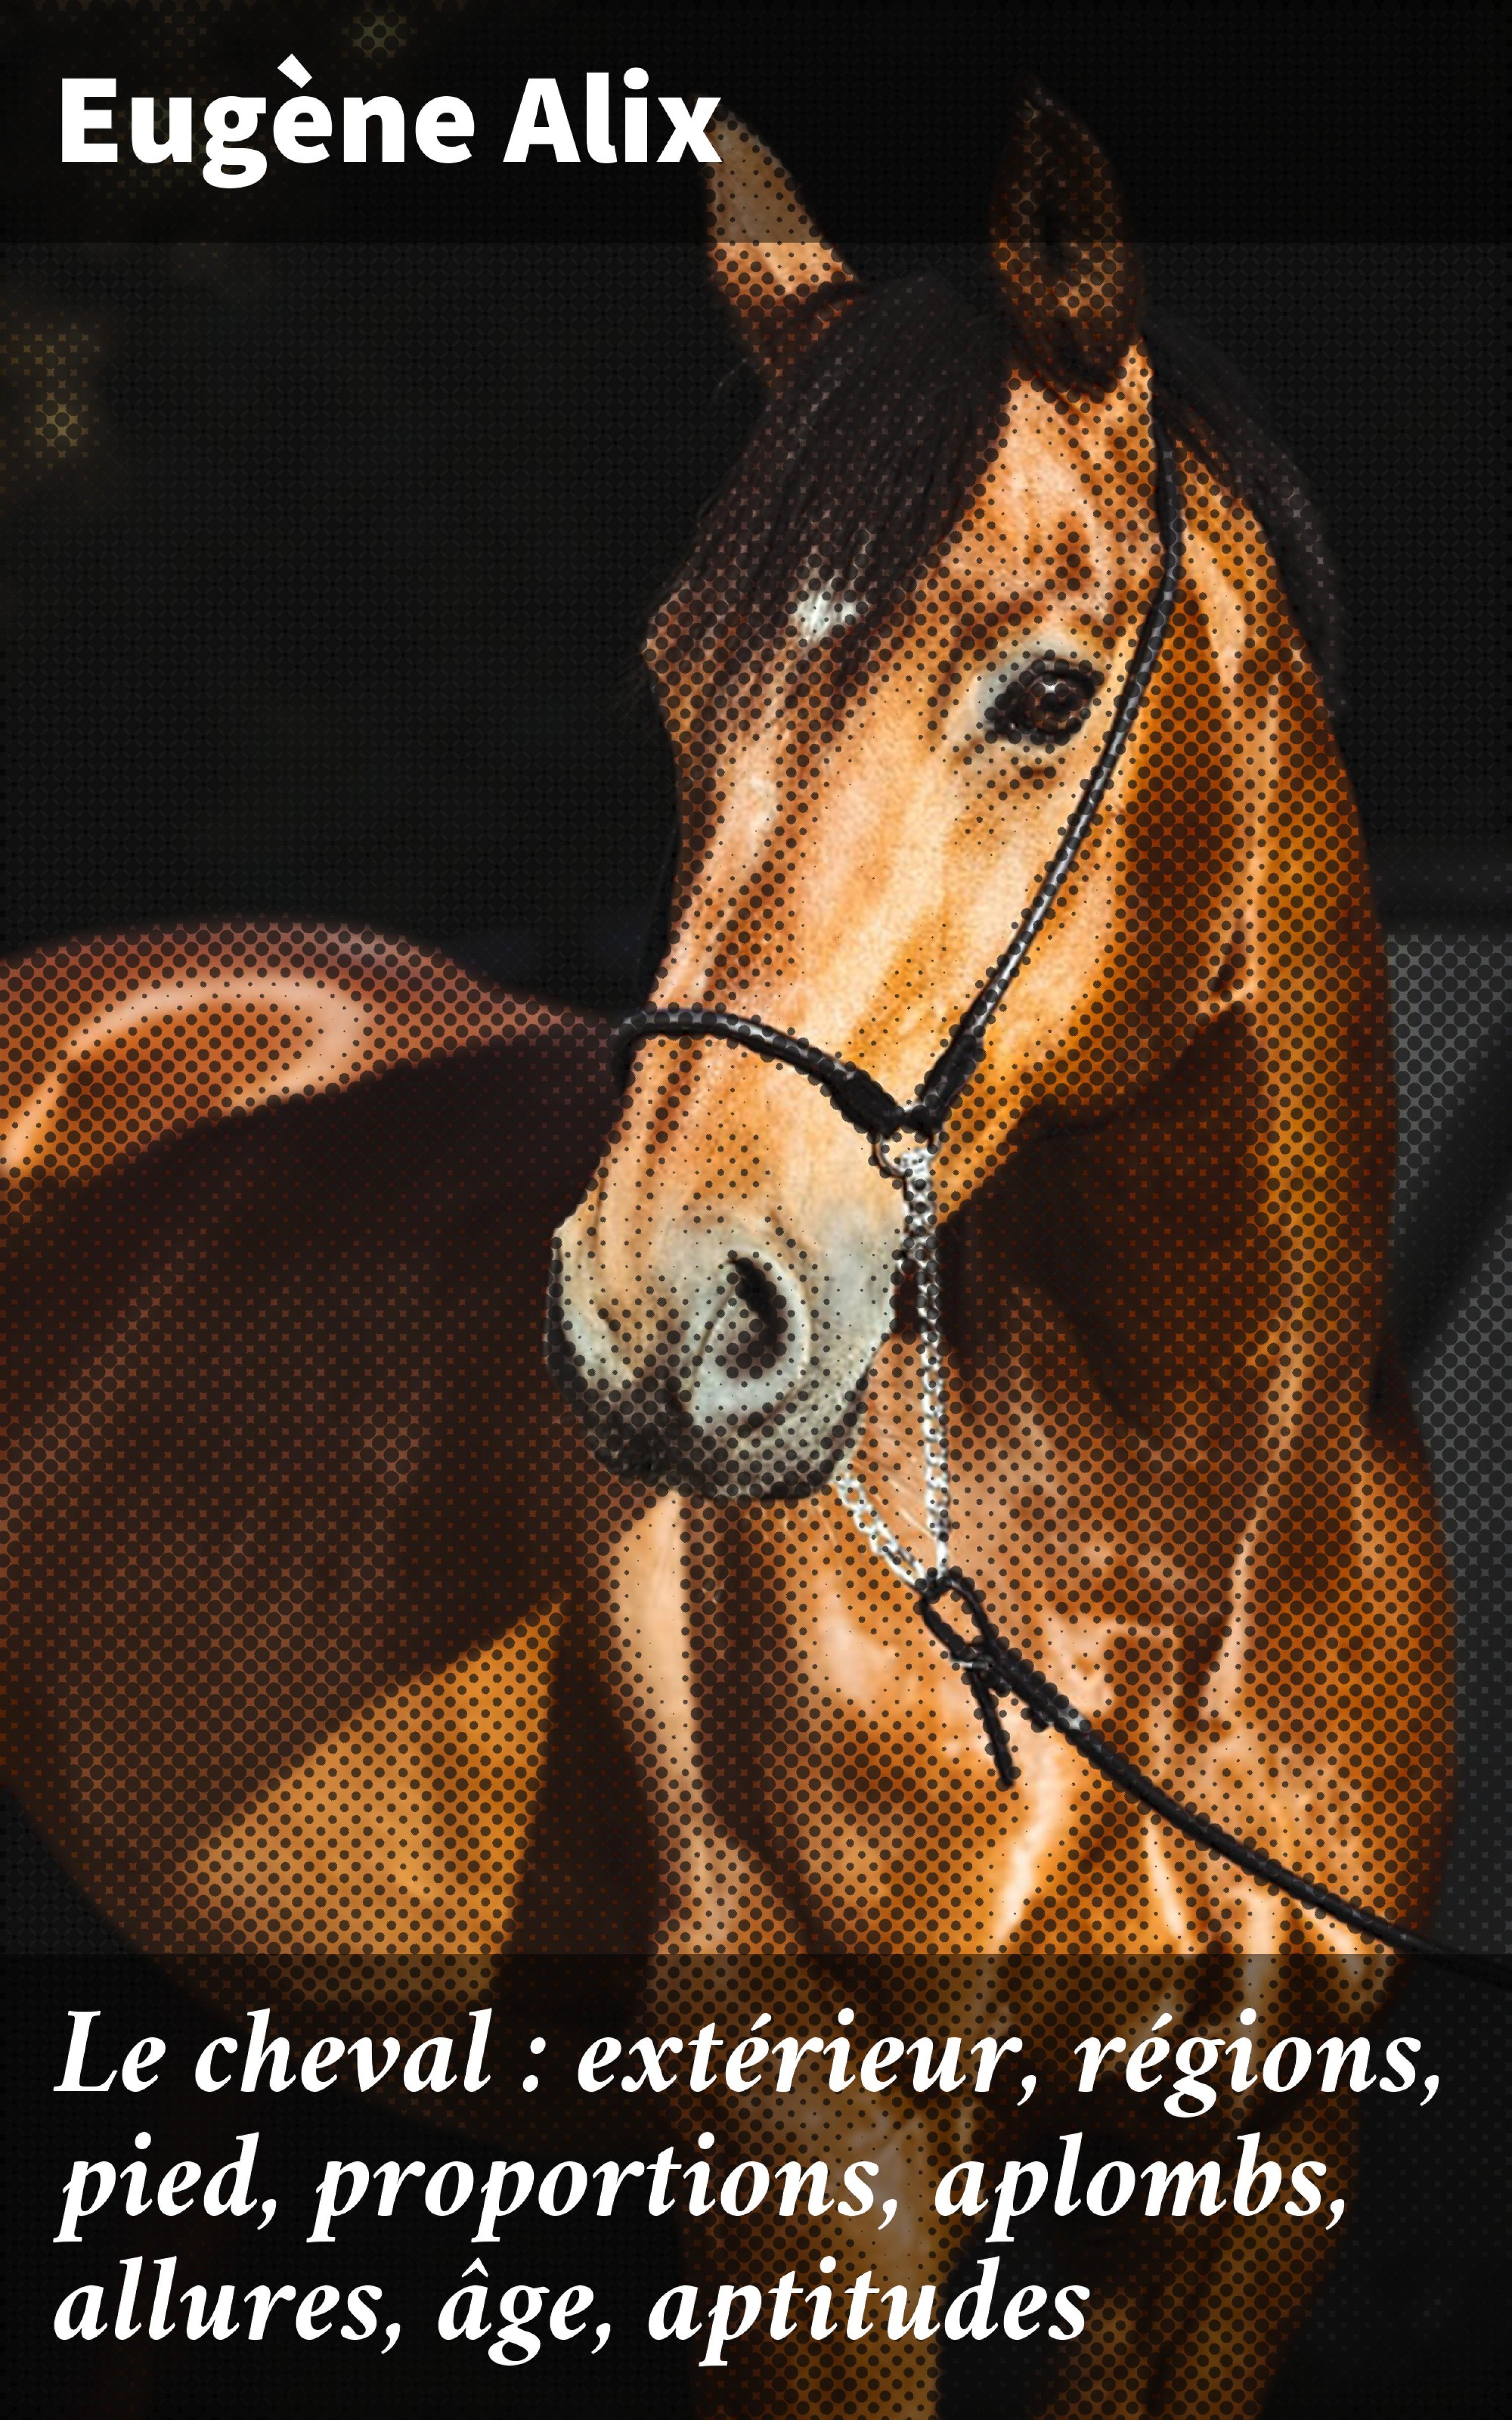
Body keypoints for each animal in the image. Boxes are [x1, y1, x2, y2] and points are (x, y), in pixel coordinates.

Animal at [4, 88, 1455, 2420]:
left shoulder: (1242, 2192)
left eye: (1045, 691)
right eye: (680, 686)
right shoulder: (811, 2148)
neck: (1156, 1553)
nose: (659, 1317)